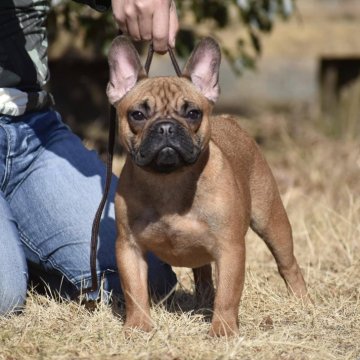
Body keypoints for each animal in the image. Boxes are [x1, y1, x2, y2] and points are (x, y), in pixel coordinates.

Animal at [107, 35, 306, 336]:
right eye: (138, 115)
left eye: (192, 113)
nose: (166, 127)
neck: (169, 179)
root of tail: (229, 120)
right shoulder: (129, 248)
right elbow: (135, 291)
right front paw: (138, 326)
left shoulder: (230, 248)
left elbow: (228, 294)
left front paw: (222, 330)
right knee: (202, 273)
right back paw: (202, 303)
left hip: (271, 221)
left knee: (288, 264)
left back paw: (303, 303)